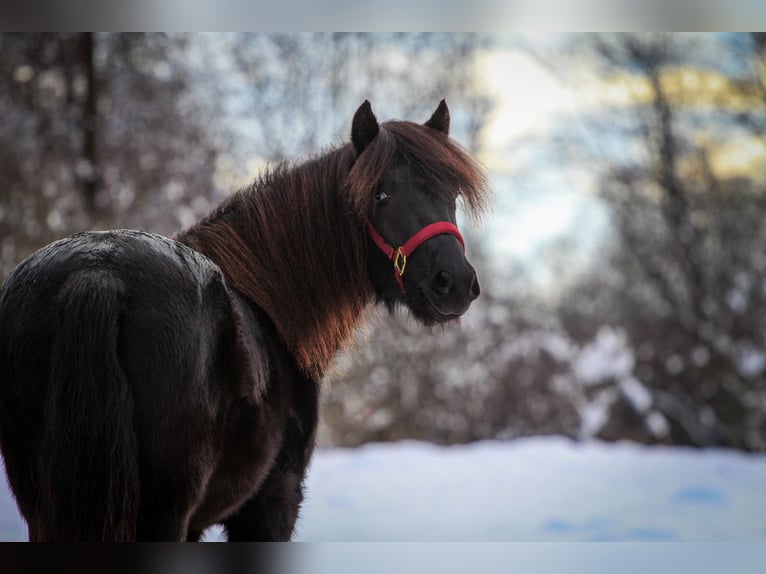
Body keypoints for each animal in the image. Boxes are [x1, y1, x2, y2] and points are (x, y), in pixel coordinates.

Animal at [0, 101, 492, 544]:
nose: (453, 283)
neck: (268, 304)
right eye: (380, 194)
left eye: (450, 194)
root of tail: (96, 274)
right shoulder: (273, 500)